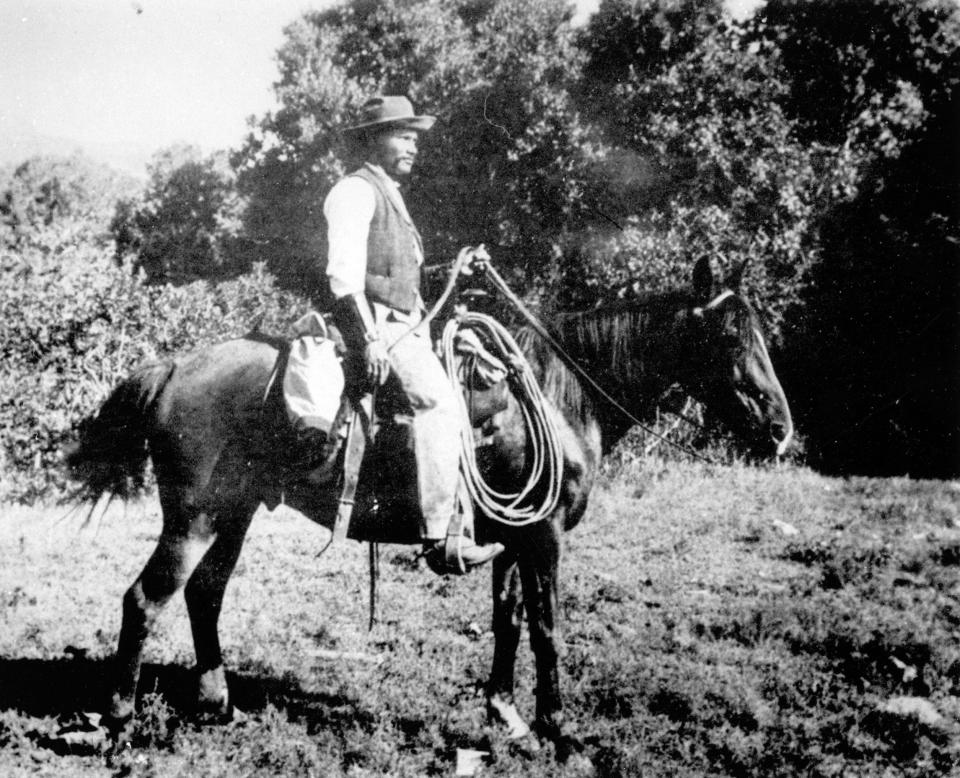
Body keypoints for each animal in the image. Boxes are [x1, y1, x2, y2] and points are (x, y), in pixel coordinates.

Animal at [63, 258, 792, 756]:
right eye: (730, 335)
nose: (782, 430)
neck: (559, 399)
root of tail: (175, 367)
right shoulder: (546, 538)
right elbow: (549, 631)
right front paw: (559, 731)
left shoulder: (514, 537)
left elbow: (508, 621)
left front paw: (505, 713)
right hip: (193, 518)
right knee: (145, 599)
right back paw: (120, 720)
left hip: (234, 514)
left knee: (204, 594)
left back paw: (219, 703)